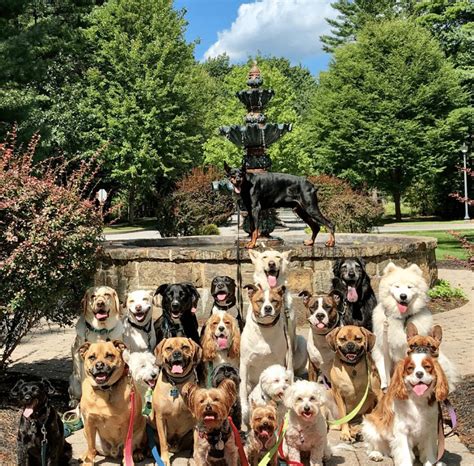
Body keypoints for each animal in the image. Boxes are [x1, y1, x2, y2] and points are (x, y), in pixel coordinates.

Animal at [78, 338, 145, 466]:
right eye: (92, 357)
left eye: (109, 356)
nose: (99, 365)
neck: (105, 390)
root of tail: (113, 451)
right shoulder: (89, 422)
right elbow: (90, 447)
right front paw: (88, 461)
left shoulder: (126, 424)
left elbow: (127, 446)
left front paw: (127, 460)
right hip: (85, 431)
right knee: (93, 449)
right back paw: (84, 455)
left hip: (142, 424)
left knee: (137, 446)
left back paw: (137, 454)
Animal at [154, 336, 202, 466]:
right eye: (169, 348)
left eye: (185, 347)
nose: (176, 354)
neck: (177, 383)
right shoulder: (160, 418)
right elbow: (163, 442)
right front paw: (164, 459)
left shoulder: (196, 421)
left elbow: (197, 443)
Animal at [372, 264, 458, 392]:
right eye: (397, 286)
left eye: (409, 287)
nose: (403, 296)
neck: (402, 318)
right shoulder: (382, 348)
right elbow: (383, 370)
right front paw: (386, 387)